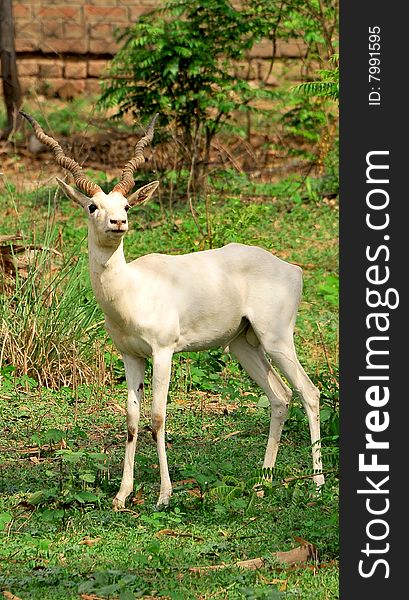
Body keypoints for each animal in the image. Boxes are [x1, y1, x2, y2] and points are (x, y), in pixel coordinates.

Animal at [21, 111, 322, 506]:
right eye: (92, 206)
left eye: (127, 205)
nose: (118, 223)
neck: (131, 290)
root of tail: (292, 268)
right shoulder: (130, 356)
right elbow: (132, 420)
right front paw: (122, 495)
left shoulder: (163, 352)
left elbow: (158, 417)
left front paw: (164, 495)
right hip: (243, 345)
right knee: (281, 397)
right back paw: (262, 483)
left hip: (277, 339)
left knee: (309, 393)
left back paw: (318, 485)